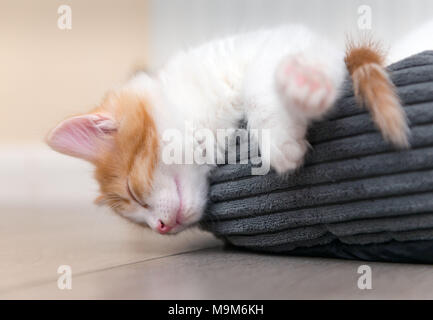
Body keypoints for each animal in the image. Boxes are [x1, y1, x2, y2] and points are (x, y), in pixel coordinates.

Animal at [45, 25, 406, 235]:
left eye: (133, 193)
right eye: (138, 220)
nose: (161, 227)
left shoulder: (290, 39)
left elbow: (261, 80)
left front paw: (284, 132)